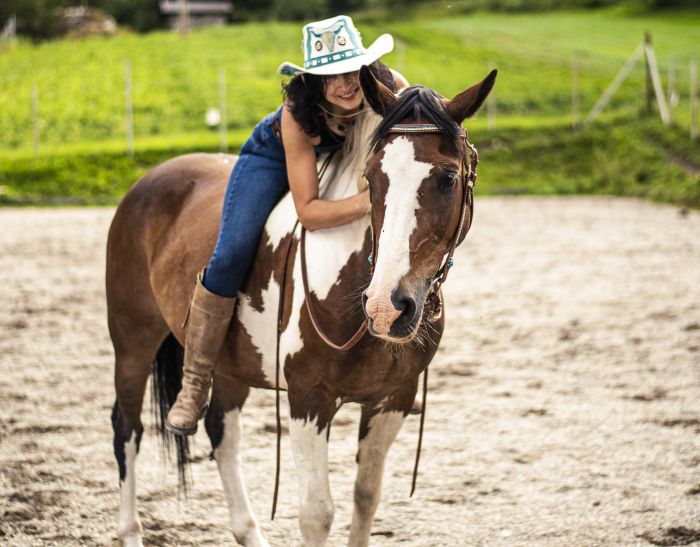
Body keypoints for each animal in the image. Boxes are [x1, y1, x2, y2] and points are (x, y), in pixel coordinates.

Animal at [106, 66, 494, 544]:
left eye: (447, 178)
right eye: (372, 177)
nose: (387, 306)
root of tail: (148, 181)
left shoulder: (392, 400)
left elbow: (366, 496)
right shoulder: (309, 398)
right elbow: (316, 513)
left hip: (230, 364)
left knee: (221, 432)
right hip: (132, 342)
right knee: (127, 429)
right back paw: (131, 530)